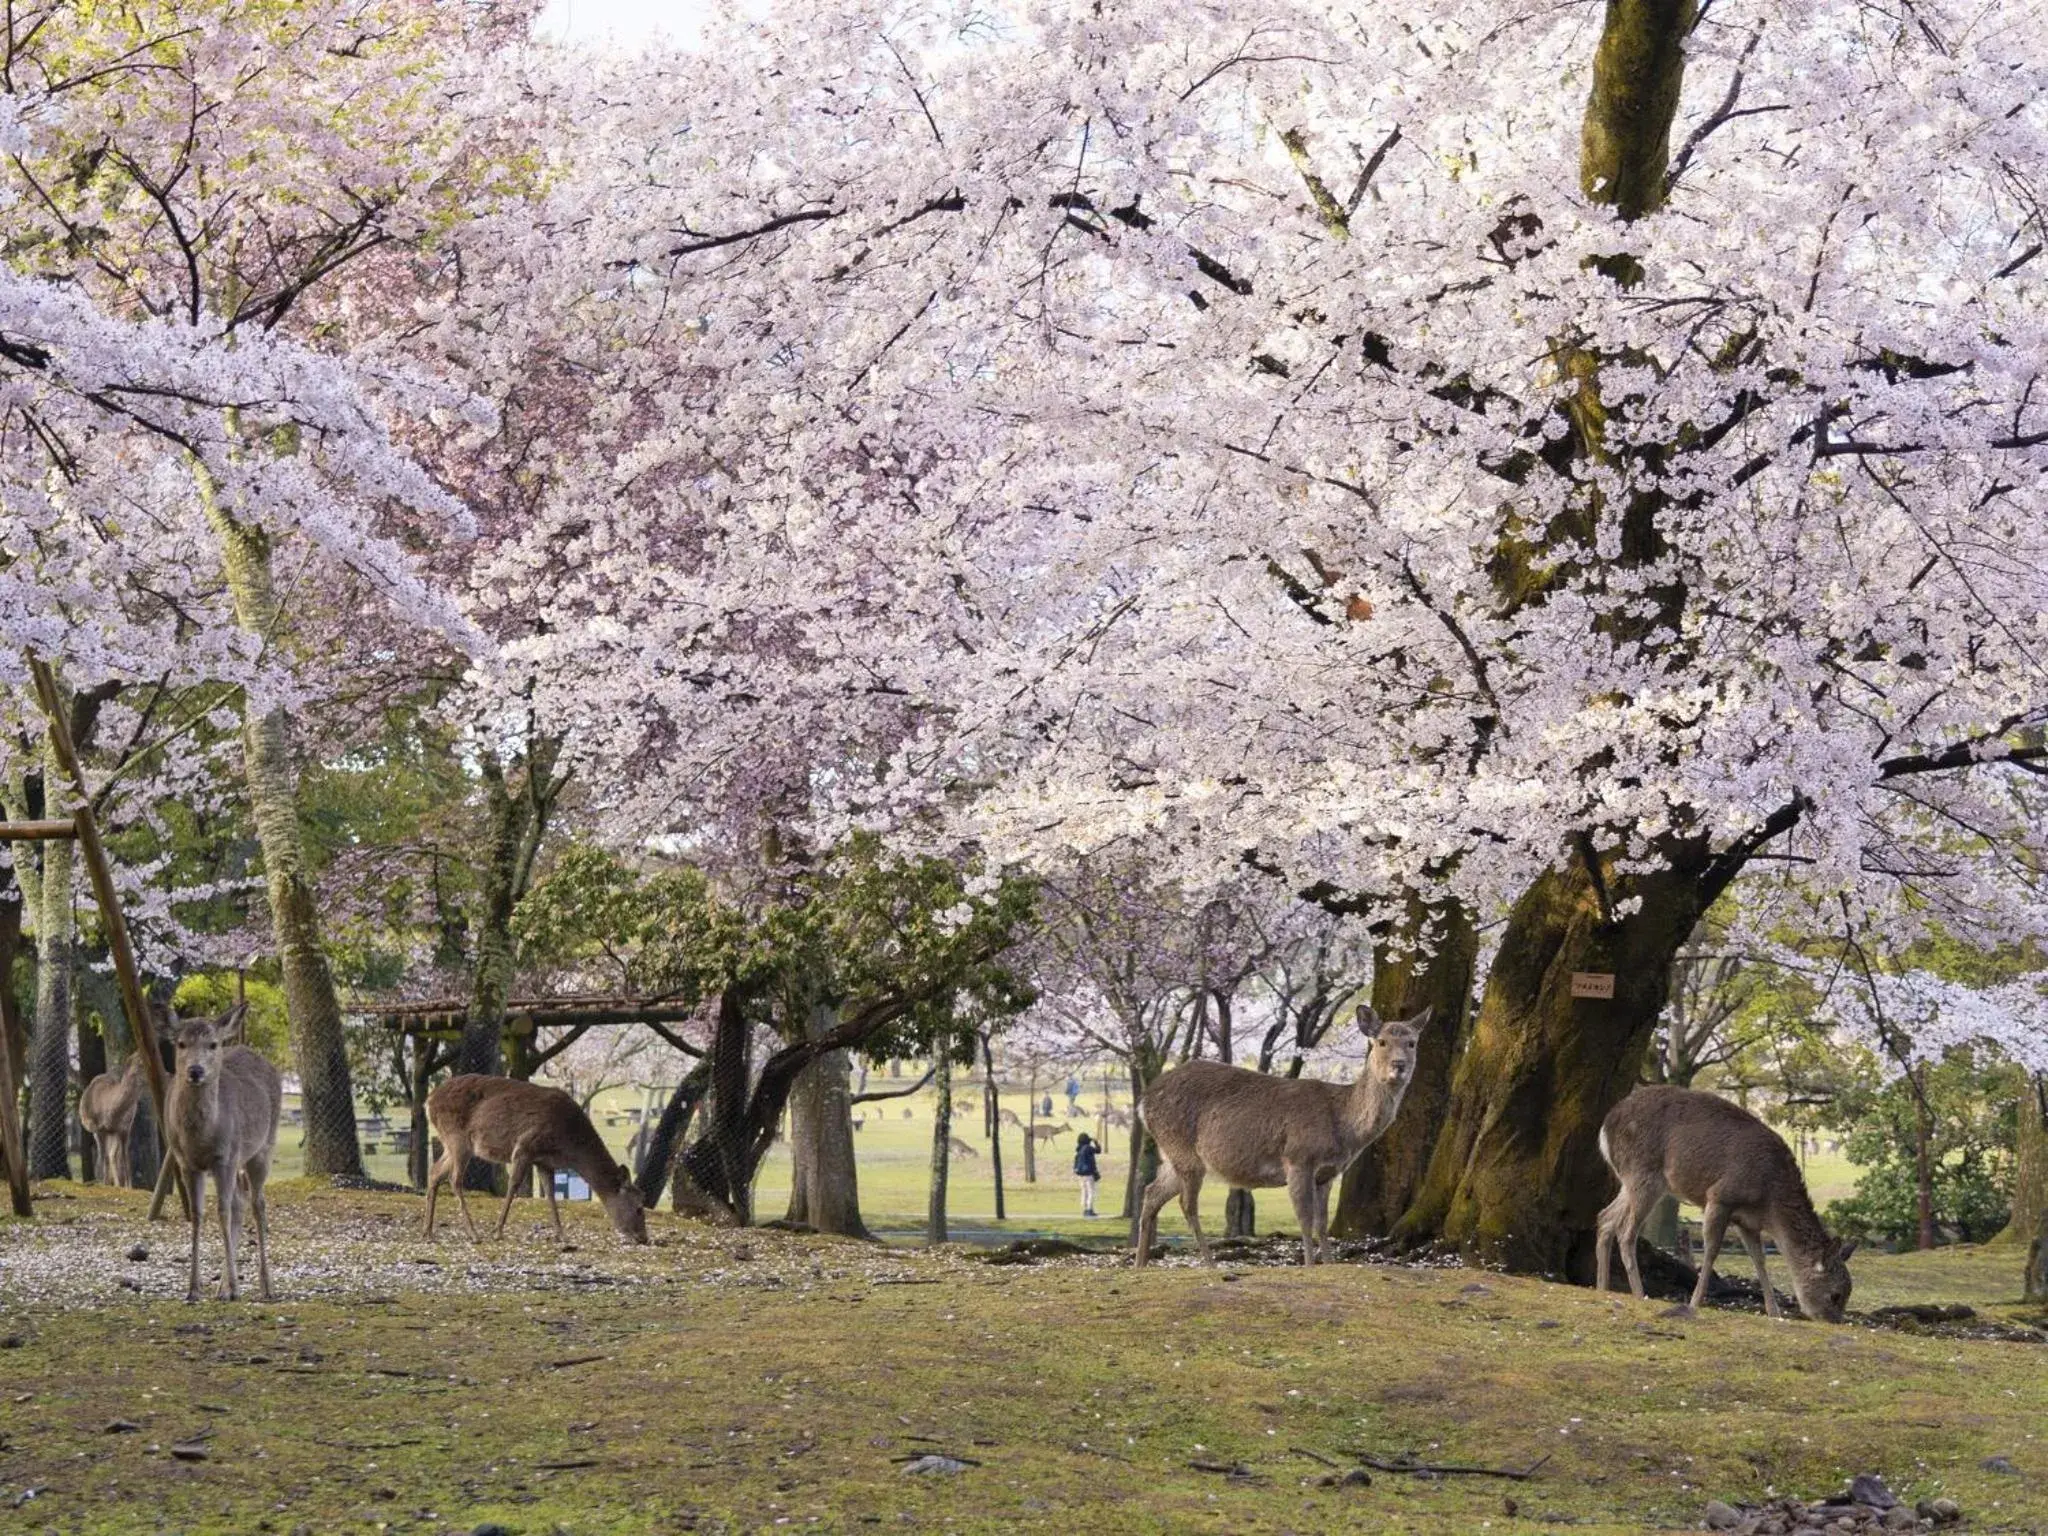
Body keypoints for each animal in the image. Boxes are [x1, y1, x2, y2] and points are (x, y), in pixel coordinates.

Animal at [77, 1056, 144, 1187]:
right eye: (140, 1064)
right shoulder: (99, 1128)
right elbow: (104, 1156)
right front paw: (105, 1183)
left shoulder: (125, 1128)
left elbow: (125, 1157)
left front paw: (129, 1186)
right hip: (98, 1131)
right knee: (106, 1154)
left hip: (113, 1133)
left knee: (113, 1154)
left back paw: (118, 1184)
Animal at [163, 1003, 280, 1302]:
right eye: (181, 1043)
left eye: (213, 1044)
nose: (195, 1070)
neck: (202, 1139)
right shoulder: (186, 1162)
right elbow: (197, 1214)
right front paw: (194, 1289)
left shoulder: (225, 1157)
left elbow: (222, 1211)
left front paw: (236, 1288)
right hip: (240, 1159)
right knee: (240, 1201)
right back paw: (222, 1288)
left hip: (263, 1148)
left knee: (257, 1203)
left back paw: (266, 1286)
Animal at [428, 1081, 651, 1253]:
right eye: (639, 1208)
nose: (644, 1238)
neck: (568, 1145)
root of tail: (429, 1100)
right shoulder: (525, 1146)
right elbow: (514, 1185)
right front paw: (497, 1231)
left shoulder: (545, 1162)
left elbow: (551, 1194)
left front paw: (562, 1235)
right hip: (458, 1138)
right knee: (454, 1179)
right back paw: (473, 1234)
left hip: (449, 1143)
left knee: (434, 1172)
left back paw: (427, 1231)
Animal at [1138, 1003, 1425, 1269]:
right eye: (1382, 1041)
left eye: (1412, 1043)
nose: (1399, 1065)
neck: (1343, 1127)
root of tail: (1143, 1102)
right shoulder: (1298, 1157)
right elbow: (1305, 1219)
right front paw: (1309, 1266)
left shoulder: (1328, 1173)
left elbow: (1322, 1223)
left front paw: (1329, 1264)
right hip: (1182, 1147)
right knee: (1187, 1204)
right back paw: (1209, 1264)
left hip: (1173, 1155)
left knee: (1151, 1193)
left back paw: (1140, 1265)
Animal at [1589, 1081, 1867, 1327]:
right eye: (1835, 1294)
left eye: (1848, 1294)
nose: (1835, 1322)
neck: (1769, 1203)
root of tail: (1605, 1127)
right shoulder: (1720, 1197)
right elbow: (1712, 1250)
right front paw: (1695, 1302)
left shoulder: (1748, 1222)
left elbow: (1759, 1259)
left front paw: (1774, 1311)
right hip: (1643, 1174)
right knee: (1626, 1231)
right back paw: (1639, 1293)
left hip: (1631, 1181)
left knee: (1605, 1218)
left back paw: (1602, 1288)